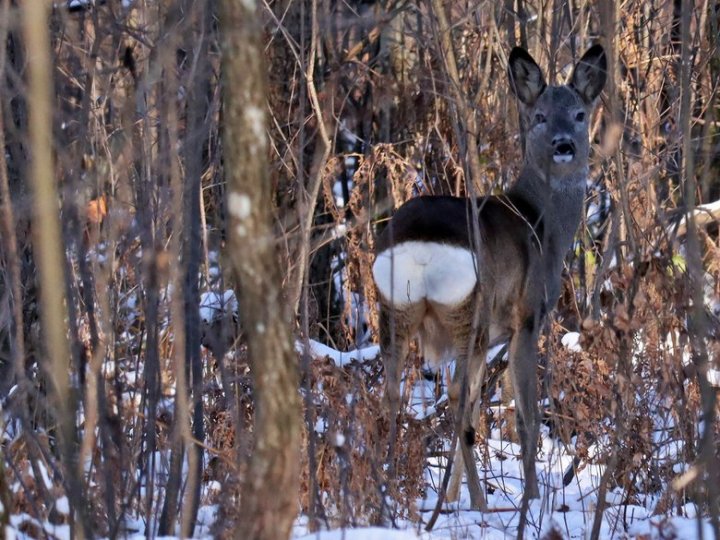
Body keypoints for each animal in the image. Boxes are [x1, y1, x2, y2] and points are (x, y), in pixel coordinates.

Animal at [372, 43, 608, 510]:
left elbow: (482, 404)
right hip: (469, 310)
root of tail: (420, 246)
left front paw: (452, 497)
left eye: (579, 114)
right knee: (457, 394)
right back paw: (481, 503)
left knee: (396, 394)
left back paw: (393, 495)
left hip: (396, 309)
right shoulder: (528, 317)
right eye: (539, 116)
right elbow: (525, 416)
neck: (542, 223)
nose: (564, 146)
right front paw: (532, 499)